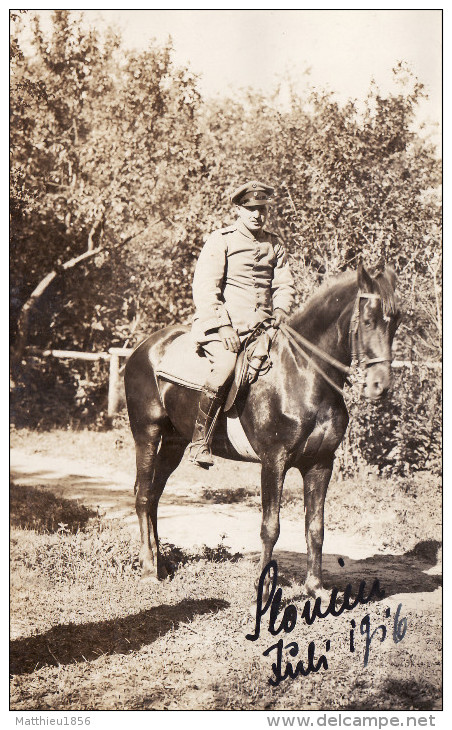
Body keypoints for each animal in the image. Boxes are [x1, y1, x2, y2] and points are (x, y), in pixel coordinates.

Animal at [124, 264, 400, 596]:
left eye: (396, 323)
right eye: (369, 321)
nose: (380, 386)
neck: (302, 374)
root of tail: (144, 348)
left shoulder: (320, 464)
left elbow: (315, 527)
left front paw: (315, 587)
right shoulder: (273, 462)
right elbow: (271, 527)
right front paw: (264, 587)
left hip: (175, 443)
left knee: (154, 495)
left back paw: (160, 564)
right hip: (147, 434)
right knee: (142, 496)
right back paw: (148, 569)